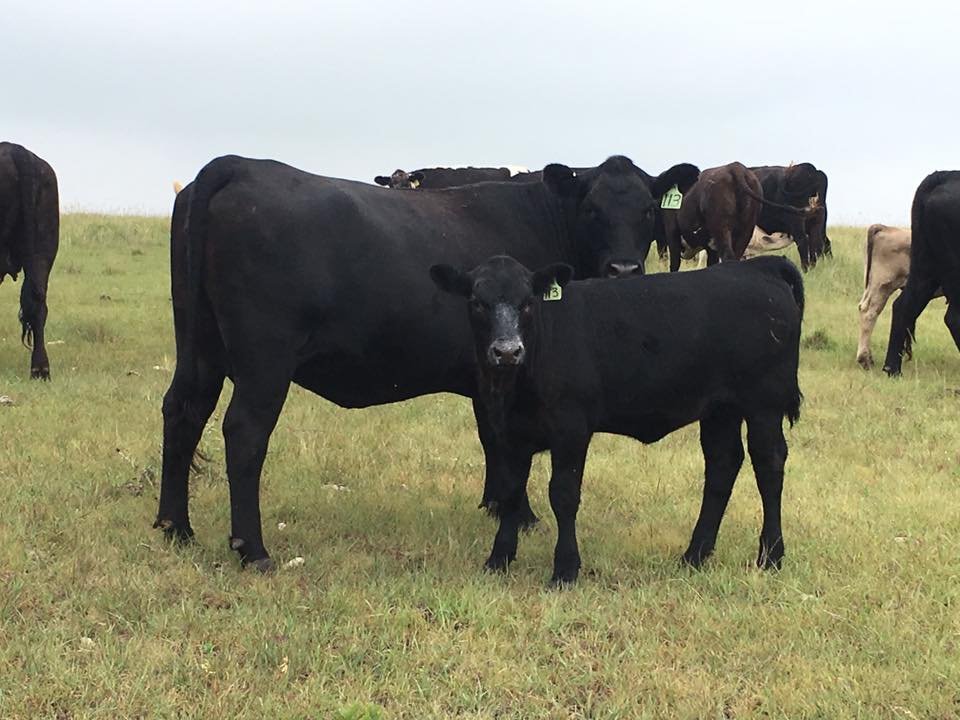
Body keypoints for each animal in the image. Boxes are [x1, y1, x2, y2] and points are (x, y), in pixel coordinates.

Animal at [156, 154, 701, 571]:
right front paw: (520, 514)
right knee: (244, 433)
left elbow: (492, 441)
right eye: (591, 208)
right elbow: (505, 443)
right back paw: (253, 550)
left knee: (182, 412)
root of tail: (238, 165)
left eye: (648, 208)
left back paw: (174, 527)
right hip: (264, 359)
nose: (624, 269)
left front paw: (495, 504)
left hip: (199, 347)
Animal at [430, 254, 803, 585]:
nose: (507, 351)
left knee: (768, 464)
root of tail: (760, 266)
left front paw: (565, 569)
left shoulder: (571, 430)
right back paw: (694, 554)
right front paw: (498, 559)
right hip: (720, 409)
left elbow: (563, 495)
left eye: (527, 302)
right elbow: (509, 492)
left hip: (763, 404)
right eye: (477, 302)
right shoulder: (509, 432)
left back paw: (771, 555)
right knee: (722, 466)